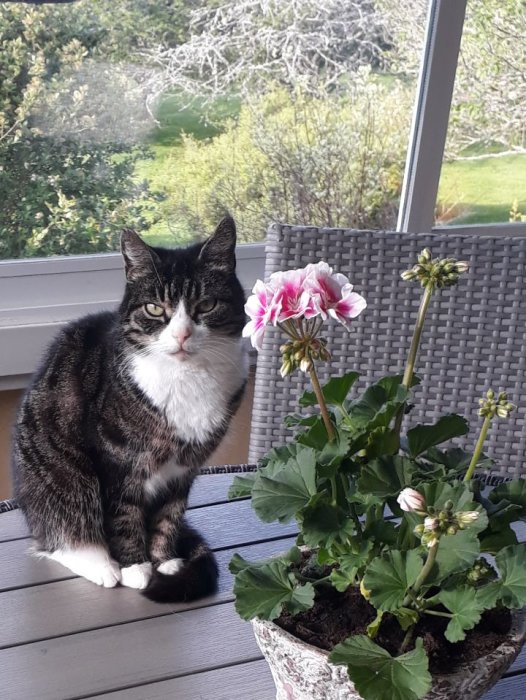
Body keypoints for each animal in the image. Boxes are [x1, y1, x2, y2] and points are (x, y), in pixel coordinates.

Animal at [12, 217, 250, 600]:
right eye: (154, 309)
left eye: (206, 305)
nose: (182, 335)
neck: (187, 376)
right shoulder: (115, 460)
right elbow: (123, 514)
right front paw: (136, 567)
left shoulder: (184, 468)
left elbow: (169, 515)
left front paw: (165, 561)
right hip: (62, 478)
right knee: (60, 533)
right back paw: (100, 563)